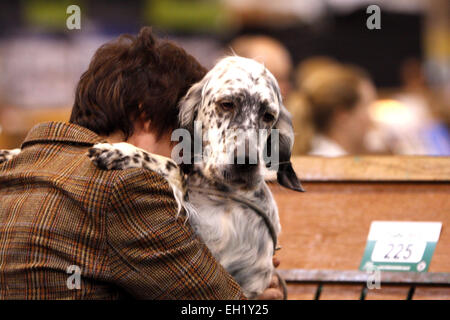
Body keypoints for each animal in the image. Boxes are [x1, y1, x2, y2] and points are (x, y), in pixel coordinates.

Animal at [0, 56, 302, 298]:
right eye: (227, 104)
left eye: (268, 115)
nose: (246, 164)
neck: (217, 191)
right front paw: (9, 153)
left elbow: (169, 165)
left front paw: (121, 151)